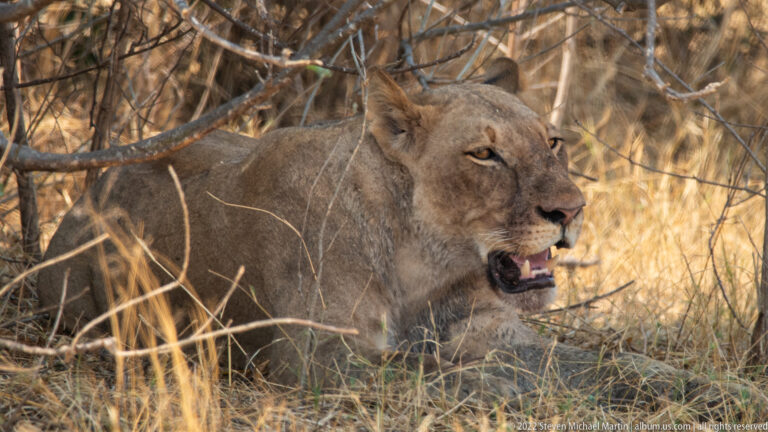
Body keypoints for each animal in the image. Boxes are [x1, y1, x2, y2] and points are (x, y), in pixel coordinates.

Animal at [36, 59, 760, 417]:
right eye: (484, 156)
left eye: (551, 142)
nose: (571, 209)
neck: (427, 264)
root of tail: (87, 194)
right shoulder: (321, 361)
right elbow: (447, 375)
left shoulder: (495, 327)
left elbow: (623, 364)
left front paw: (729, 393)